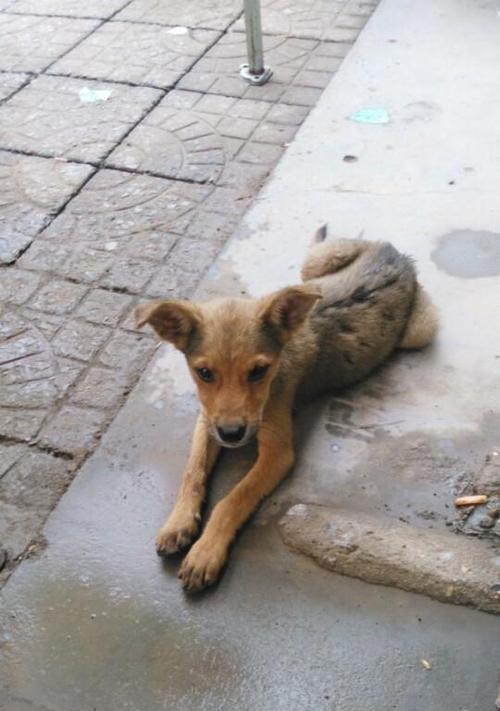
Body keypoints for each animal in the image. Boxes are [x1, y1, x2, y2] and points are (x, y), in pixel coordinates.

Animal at [136, 228, 438, 588]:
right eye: (204, 373)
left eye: (258, 371)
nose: (232, 434)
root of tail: (395, 254)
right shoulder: (208, 419)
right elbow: (191, 472)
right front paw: (178, 523)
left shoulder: (277, 452)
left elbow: (233, 498)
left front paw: (206, 550)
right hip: (315, 265)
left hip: (420, 331)